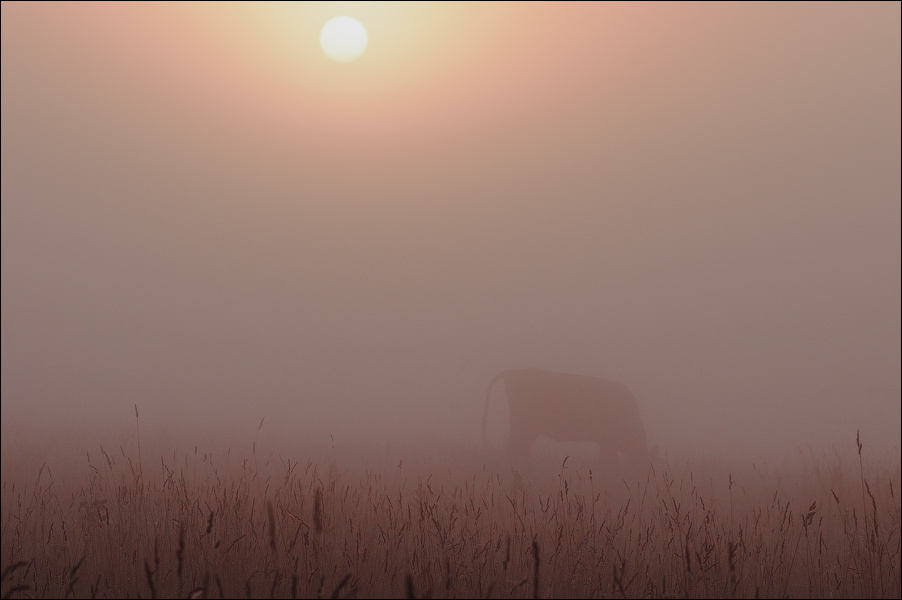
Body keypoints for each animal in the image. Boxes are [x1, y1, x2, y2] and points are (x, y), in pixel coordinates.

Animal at [484, 368, 652, 472]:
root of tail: (516, 371)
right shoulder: (607, 443)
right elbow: (607, 461)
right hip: (524, 427)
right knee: (514, 447)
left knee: (522, 449)